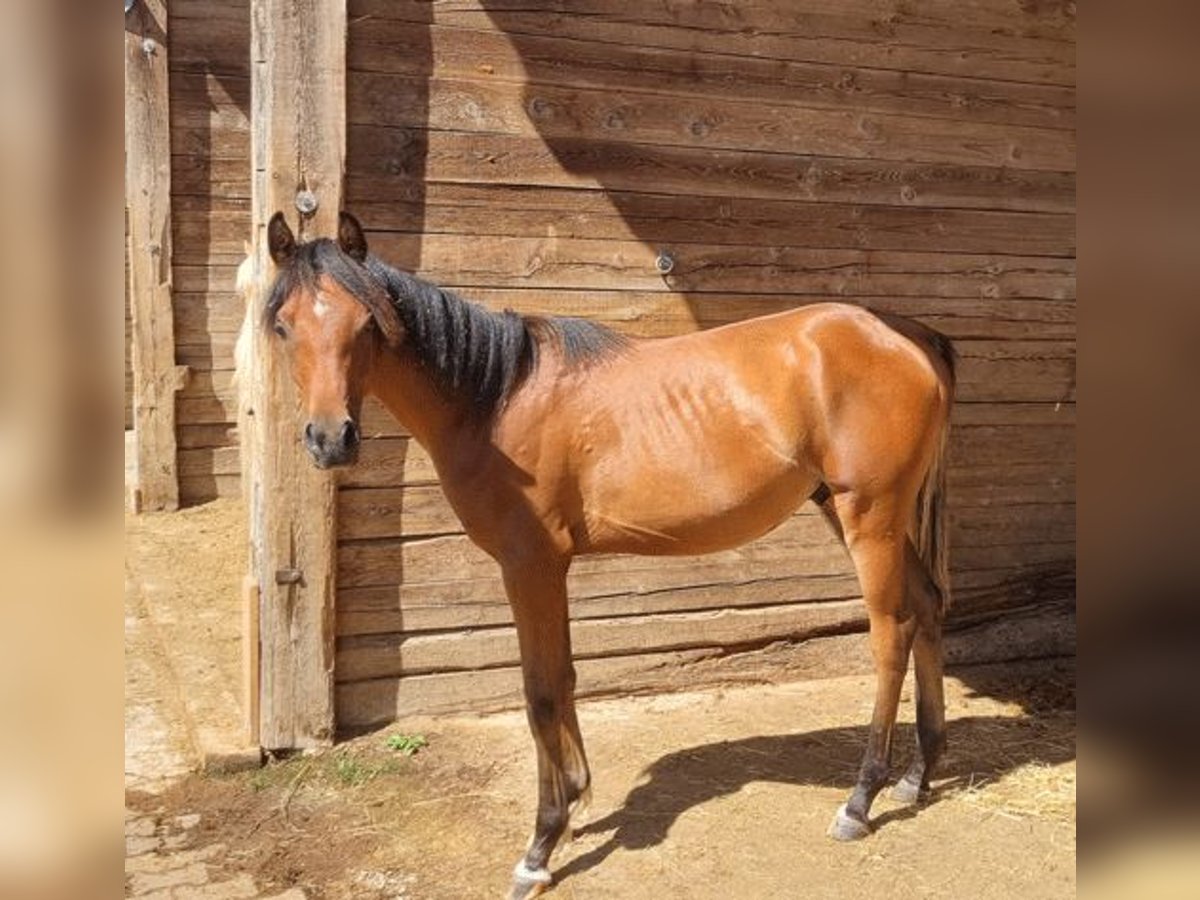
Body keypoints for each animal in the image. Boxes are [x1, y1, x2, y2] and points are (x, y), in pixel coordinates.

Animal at [265, 213, 955, 900]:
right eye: (284, 325)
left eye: (366, 322)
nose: (330, 440)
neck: (494, 398)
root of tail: (904, 336)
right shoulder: (547, 569)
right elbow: (565, 678)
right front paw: (575, 803)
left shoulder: (531, 564)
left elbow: (541, 691)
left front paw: (541, 845)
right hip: (858, 514)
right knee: (927, 606)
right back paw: (916, 775)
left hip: (870, 518)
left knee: (891, 633)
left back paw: (859, 800)